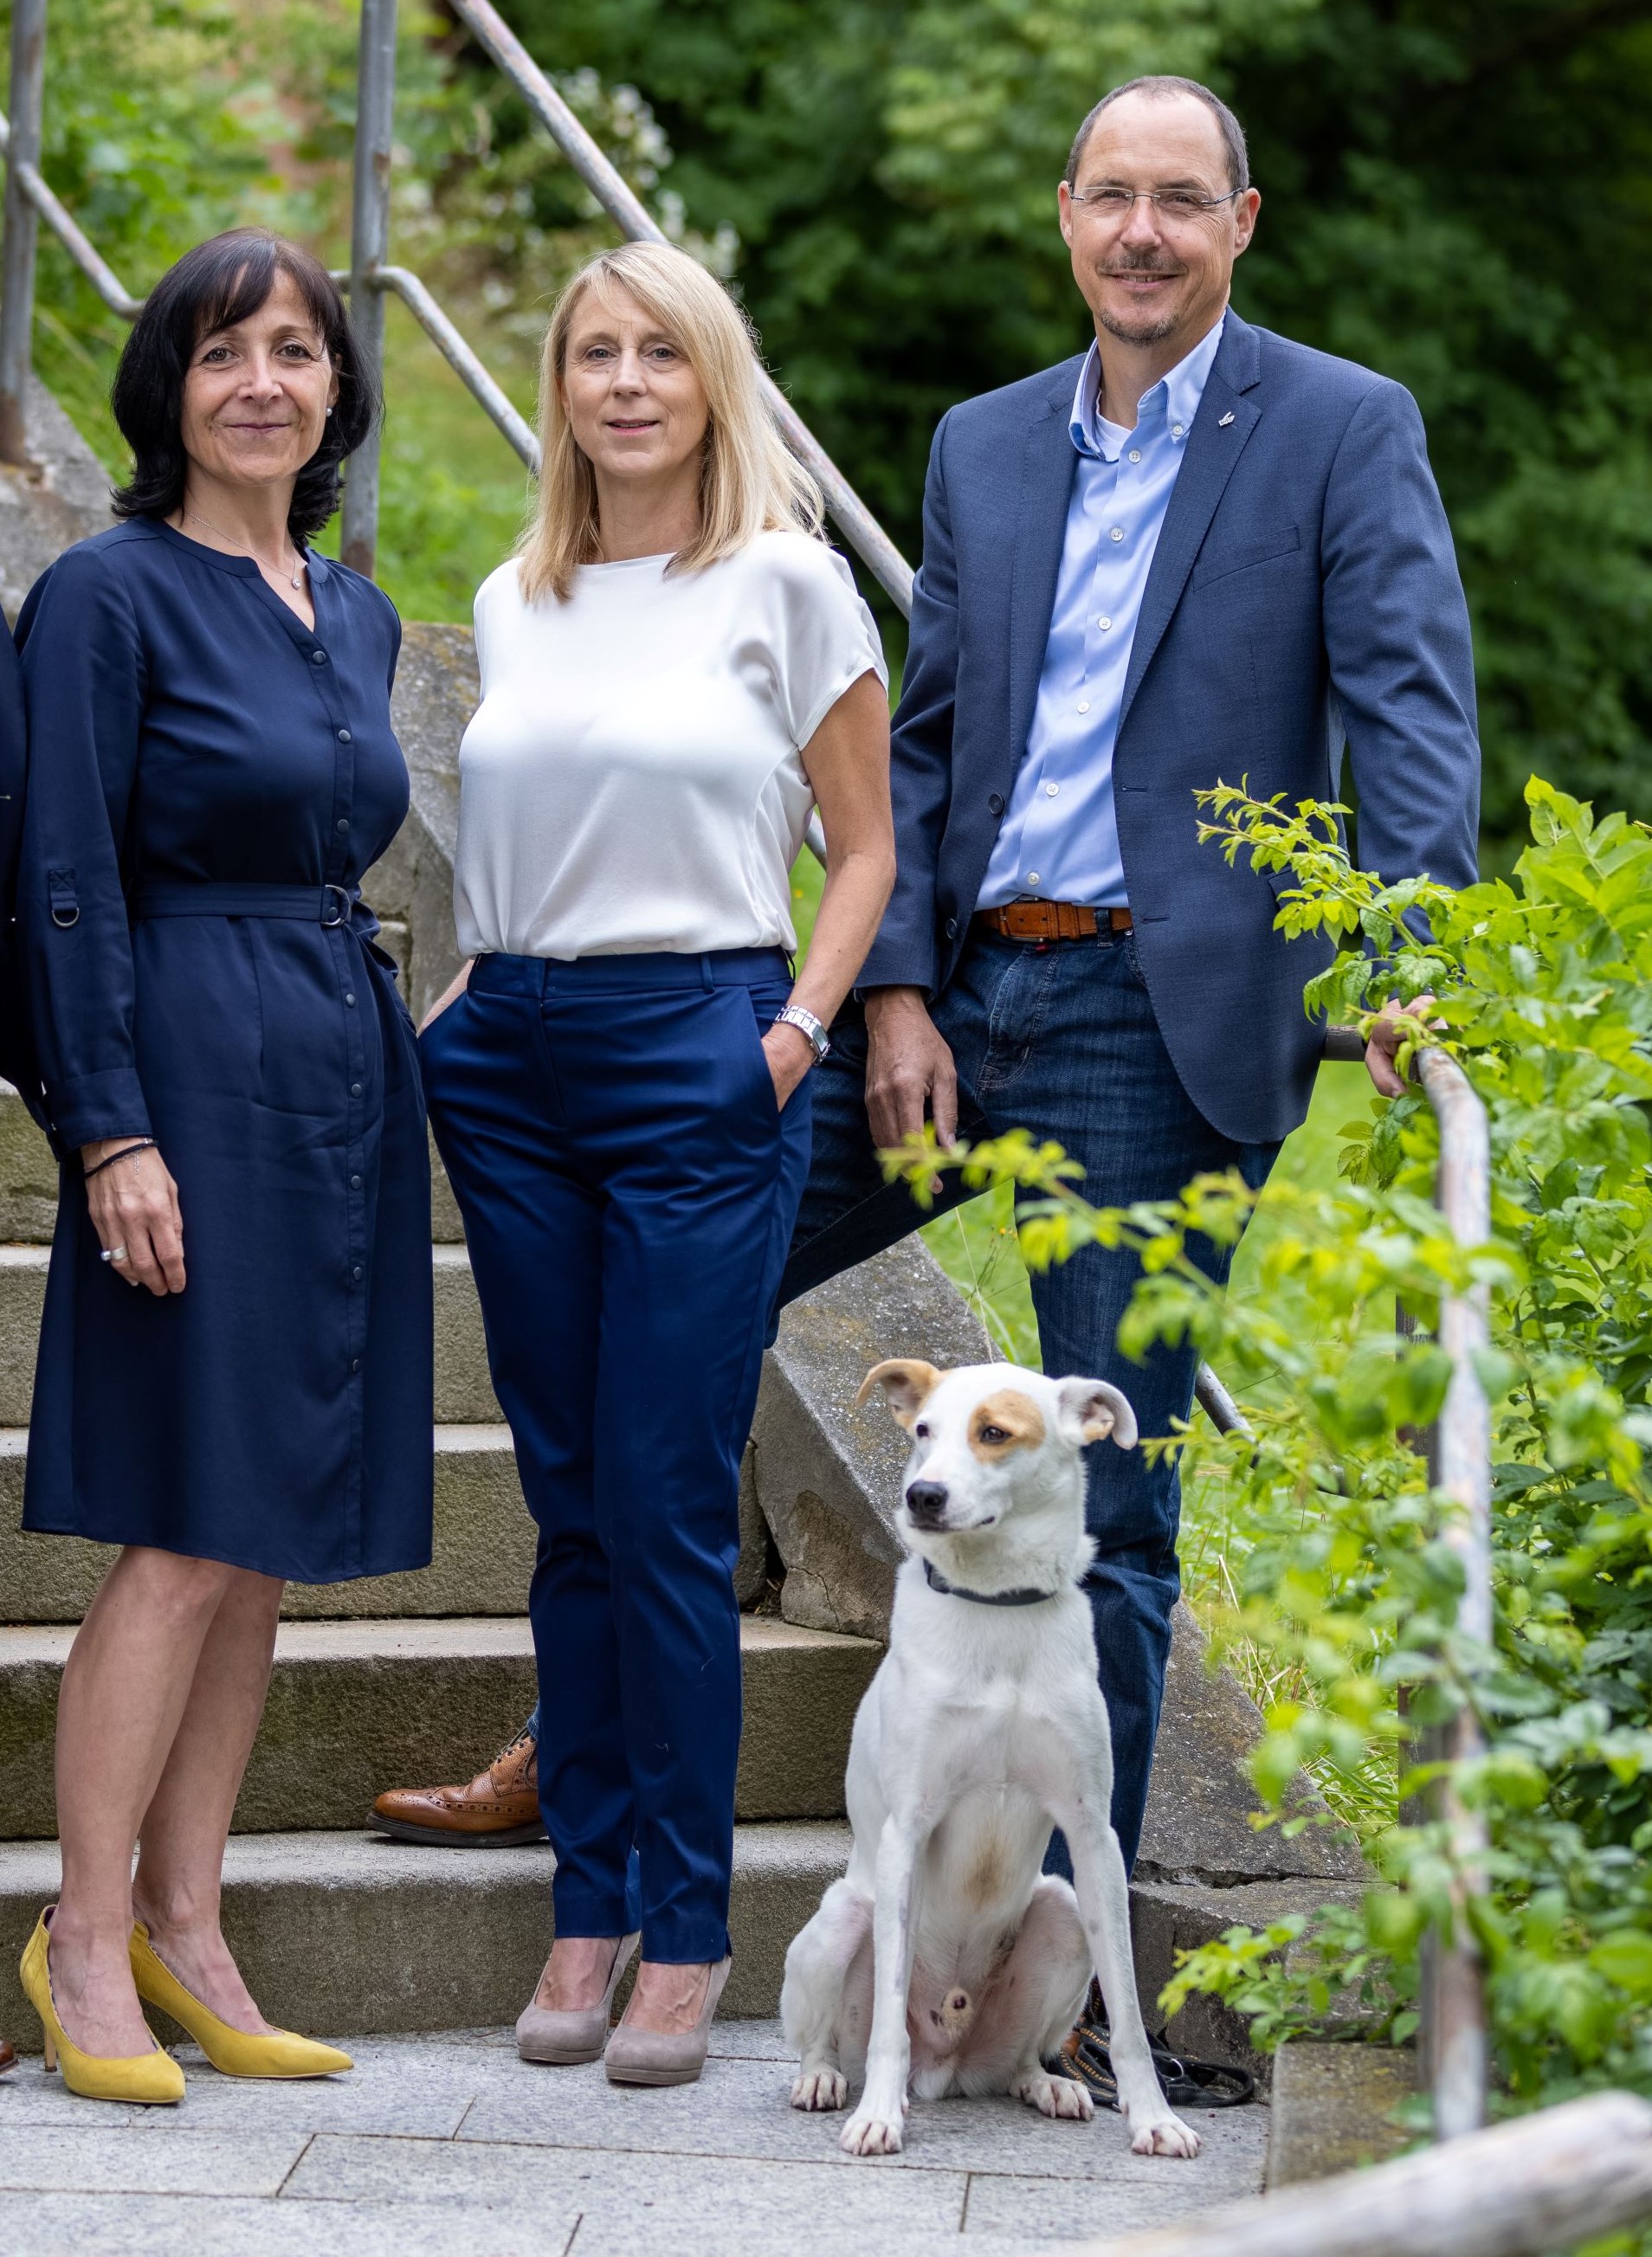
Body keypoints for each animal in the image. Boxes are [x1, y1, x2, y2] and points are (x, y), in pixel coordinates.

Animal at [780, 1363, 1191, 2157]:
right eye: (922, 1431)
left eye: (994, 1432)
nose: (922, 1495)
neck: (998, 1607)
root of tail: (947, 2064)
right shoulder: (907, 1830)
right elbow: (886, 2021)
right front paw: (878, 2116)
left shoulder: (1093, 1836)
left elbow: (1128, 2013)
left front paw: (1155, 2117)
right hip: (842, 1919)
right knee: (830, 2037)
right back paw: (825, 2080)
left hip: (1063, 1911)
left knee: (1022, 2058)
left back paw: (1050, 2084)